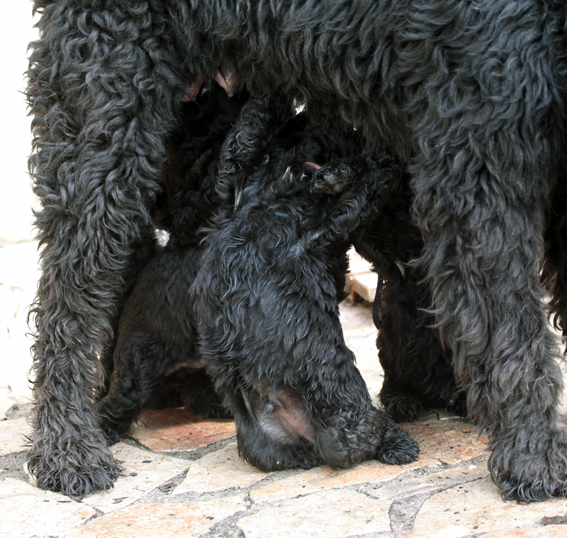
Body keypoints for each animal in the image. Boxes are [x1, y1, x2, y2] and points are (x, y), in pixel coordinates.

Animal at [28, 1, 567, 502]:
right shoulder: (479, 166)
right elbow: (512, 330)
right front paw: (534, 458)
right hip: (107, 109)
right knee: (70, 289)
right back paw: (71, 449)